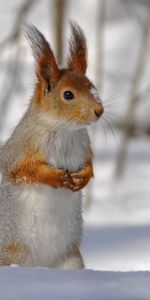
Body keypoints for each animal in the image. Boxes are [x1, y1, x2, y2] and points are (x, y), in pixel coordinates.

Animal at [0, 22, 103, 268]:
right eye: (68, 95)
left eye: (92, 86)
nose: (99, 110)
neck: (65, 130)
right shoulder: (19, 149)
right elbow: (22, 170)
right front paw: (55, 177)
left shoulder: (84, 146)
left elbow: (89, 164)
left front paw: (83, 177)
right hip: (14, 254)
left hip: (71, 259)